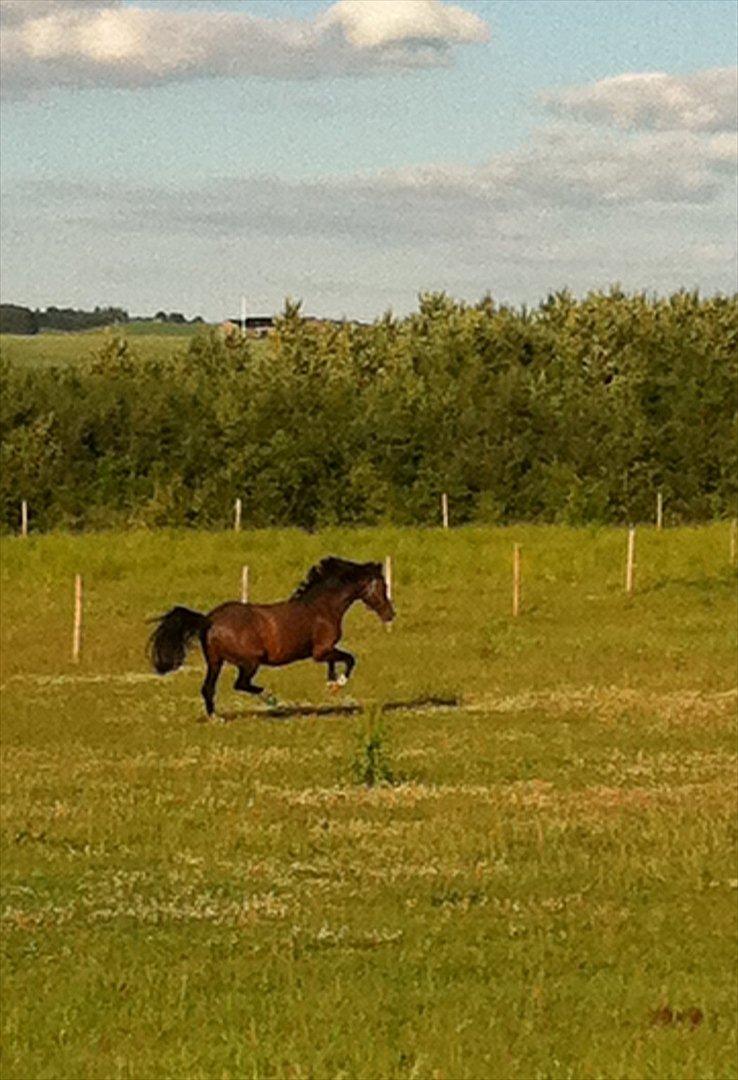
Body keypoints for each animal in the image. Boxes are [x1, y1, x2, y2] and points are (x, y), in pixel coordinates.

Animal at [148, 556, 394, 718]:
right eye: (382, 586)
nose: (391, 614)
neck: (323, 607)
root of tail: (209, 619)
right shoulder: (321, 651)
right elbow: (350, 659)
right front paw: (339, 683)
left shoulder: (325, 651)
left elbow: (336, 662)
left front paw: (332, 683)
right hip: (250, 661)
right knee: (241, 684)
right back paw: (273, 700)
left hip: (216, 662)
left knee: (208, 688)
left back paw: (215, 717)